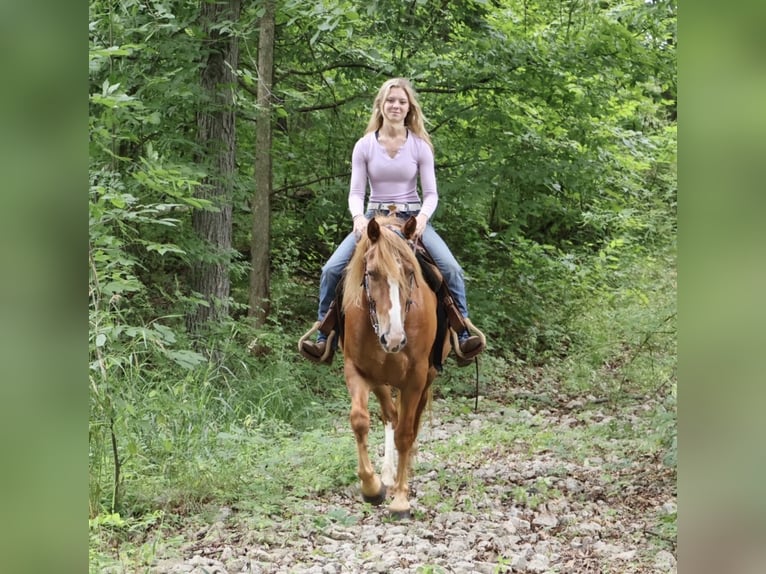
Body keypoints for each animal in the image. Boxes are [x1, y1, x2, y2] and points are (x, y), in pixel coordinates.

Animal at [340, 214, 446, 518]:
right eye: (372, 273)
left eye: (410, 272)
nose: (395, 338)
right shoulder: (357, 371)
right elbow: (360, 421)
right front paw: (372, 487)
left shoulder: (415, 379)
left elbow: (405, 435)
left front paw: (400, 499)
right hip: (380, 380)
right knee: (390, 414)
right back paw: (387, 475)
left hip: (425, 379)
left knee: (409, 424)